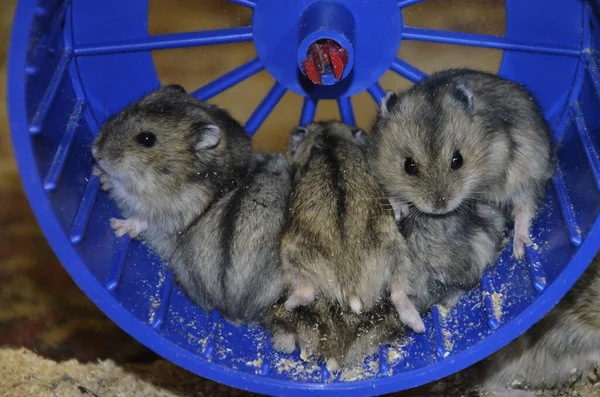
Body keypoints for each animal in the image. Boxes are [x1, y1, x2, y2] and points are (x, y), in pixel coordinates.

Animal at [92, 85, 292, 324]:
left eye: (146, 139)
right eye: (126, 109)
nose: (95, 151)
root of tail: (232, 311)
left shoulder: (176, 214)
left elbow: (143, 219)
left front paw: (117, 227)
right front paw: (99, 175)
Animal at [280, 122, 424, 332]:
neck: (330, 140)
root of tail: (351, 289)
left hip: (290, 258)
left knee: (306, 291)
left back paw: (288, 304)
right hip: (397, 252)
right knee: (397, 291)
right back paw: (418, 324)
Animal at [370, 68, 552, 258]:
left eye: (458, 160)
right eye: (409, 166)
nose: (440, 208)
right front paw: (400, 210)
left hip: (531, 172)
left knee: (525, 207)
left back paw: (519, 250)